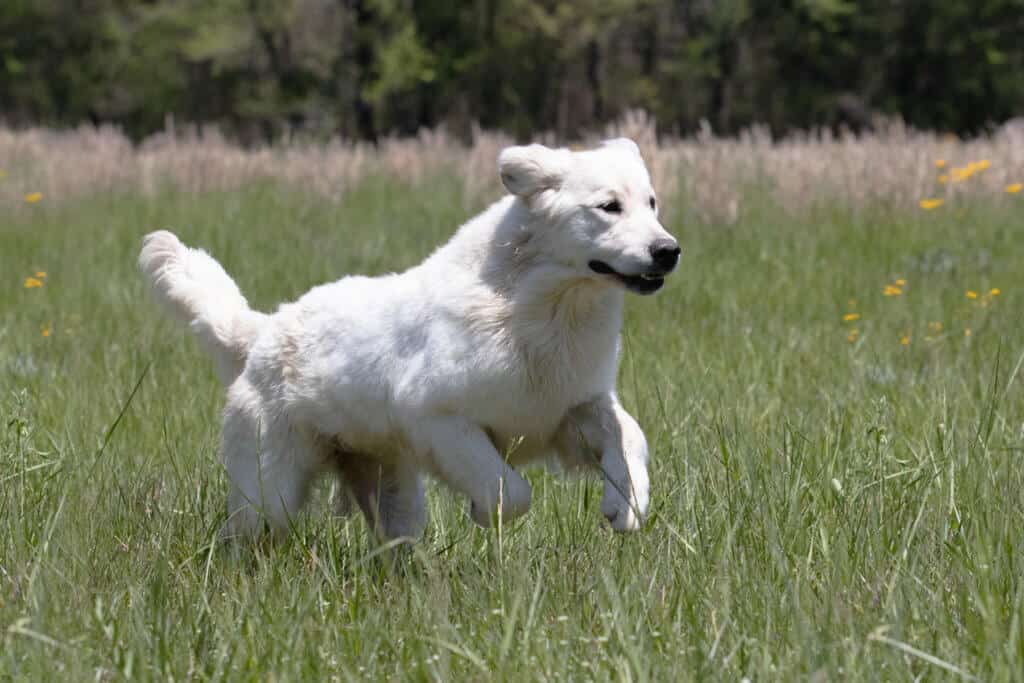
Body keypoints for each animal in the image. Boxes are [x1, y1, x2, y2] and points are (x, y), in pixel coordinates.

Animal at [138, 139, 679, 540]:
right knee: (247, 535)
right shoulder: (438, 418)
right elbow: (511, 492)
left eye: (652, 203)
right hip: (271, 495)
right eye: (608, 207)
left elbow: (630, 435)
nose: (668, 250)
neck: (540, 308)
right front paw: (482, 510)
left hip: (392, 493)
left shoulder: (574, 406)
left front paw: (626, 504)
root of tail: (262, 330)